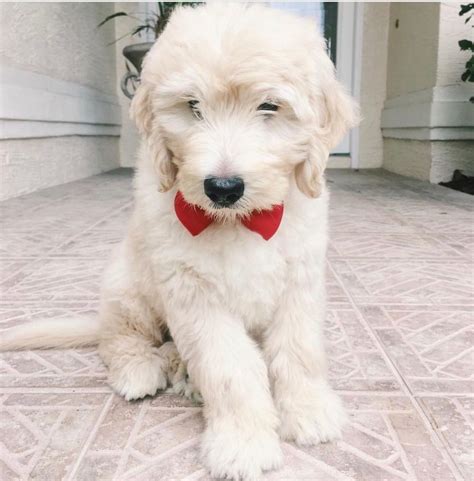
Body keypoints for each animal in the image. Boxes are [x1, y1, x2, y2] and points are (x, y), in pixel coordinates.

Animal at [1, 2, 360, 476]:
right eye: (192, 107)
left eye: (270, 106)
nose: (223, 188)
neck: (237, 222)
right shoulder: (193, 294)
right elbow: (230, 368)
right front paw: (242, 443)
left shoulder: (299, 280)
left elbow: (299, 349)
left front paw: (308, 410)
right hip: (127, 286)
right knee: (119, 338)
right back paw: (140, 369)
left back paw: (183, 373)